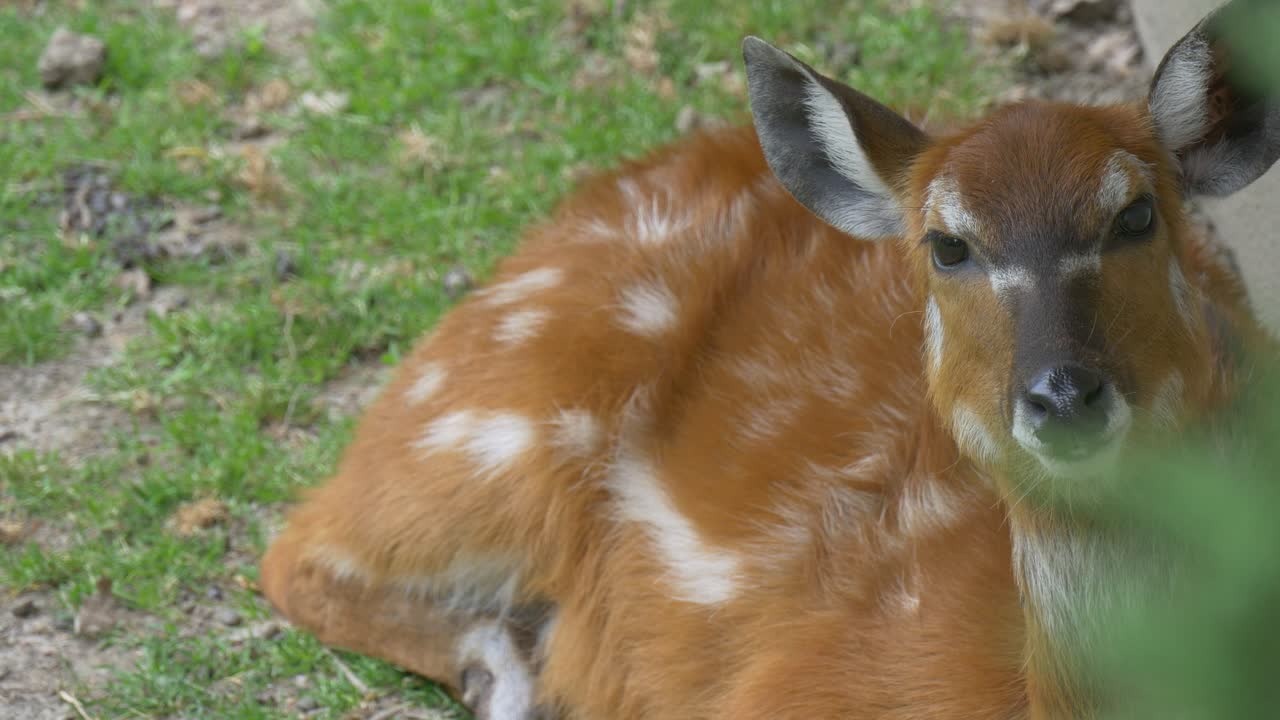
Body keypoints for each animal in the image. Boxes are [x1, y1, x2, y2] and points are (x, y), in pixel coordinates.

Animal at [260, 1, 1279, 718]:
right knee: (295, 547)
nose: (1061, 395)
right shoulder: (791, 688)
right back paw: (507, 673)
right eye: (948, 245)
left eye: (1136, 214)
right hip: (497, 426)